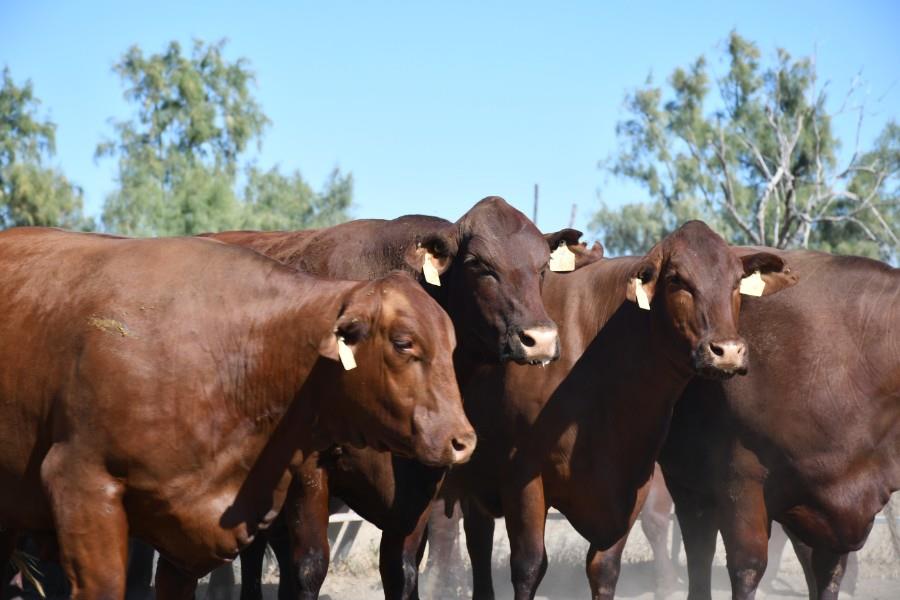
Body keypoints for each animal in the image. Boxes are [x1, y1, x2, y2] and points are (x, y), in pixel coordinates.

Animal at [201, 196, 587, 599]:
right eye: (479, 264)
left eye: (542, 268)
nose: (539, 339)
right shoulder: (309, 470)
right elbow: (309, 565)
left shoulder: (421, 479)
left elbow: (401, 568)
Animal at [447, 221, 798, 600]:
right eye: (677, 279)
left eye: (737, 282)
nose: (728, 351)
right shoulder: (521, 474)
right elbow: (528, 566)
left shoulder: (633, 483)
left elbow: (605, 568)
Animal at [654, 248, 899, 600]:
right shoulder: (740, 477)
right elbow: (747, 567)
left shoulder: (837, 506)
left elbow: (830, 575)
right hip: (687, 482)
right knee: (696, 552)